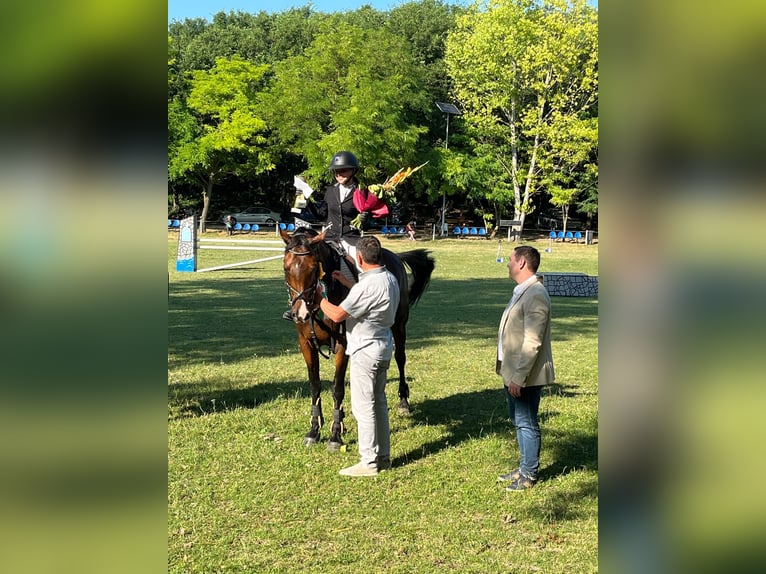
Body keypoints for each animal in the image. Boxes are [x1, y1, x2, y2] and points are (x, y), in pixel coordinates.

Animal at [282, 228, 438, 450]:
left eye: (313, 268)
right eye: (286, 268)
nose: (299, 314)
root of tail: (393, 256)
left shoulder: (342, 344)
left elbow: (338, 388)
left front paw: (335, 435)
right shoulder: (306, 344)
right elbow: (315, 385)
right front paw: (314, 429)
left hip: (399, 326)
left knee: (400, 358)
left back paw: (403, 402)